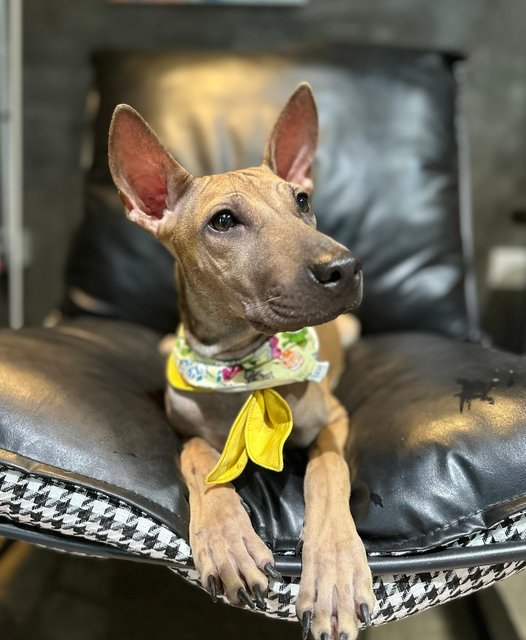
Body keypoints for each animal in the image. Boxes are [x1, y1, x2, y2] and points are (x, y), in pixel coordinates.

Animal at [109, 85, 378, 640]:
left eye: (302, 201)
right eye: (224, 221)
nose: (344, 269)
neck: (243, 367)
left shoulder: (334, 419)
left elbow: (328, 471)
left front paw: (336, 578)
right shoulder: (183, 425)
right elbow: (198, 458)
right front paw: (227, 540)